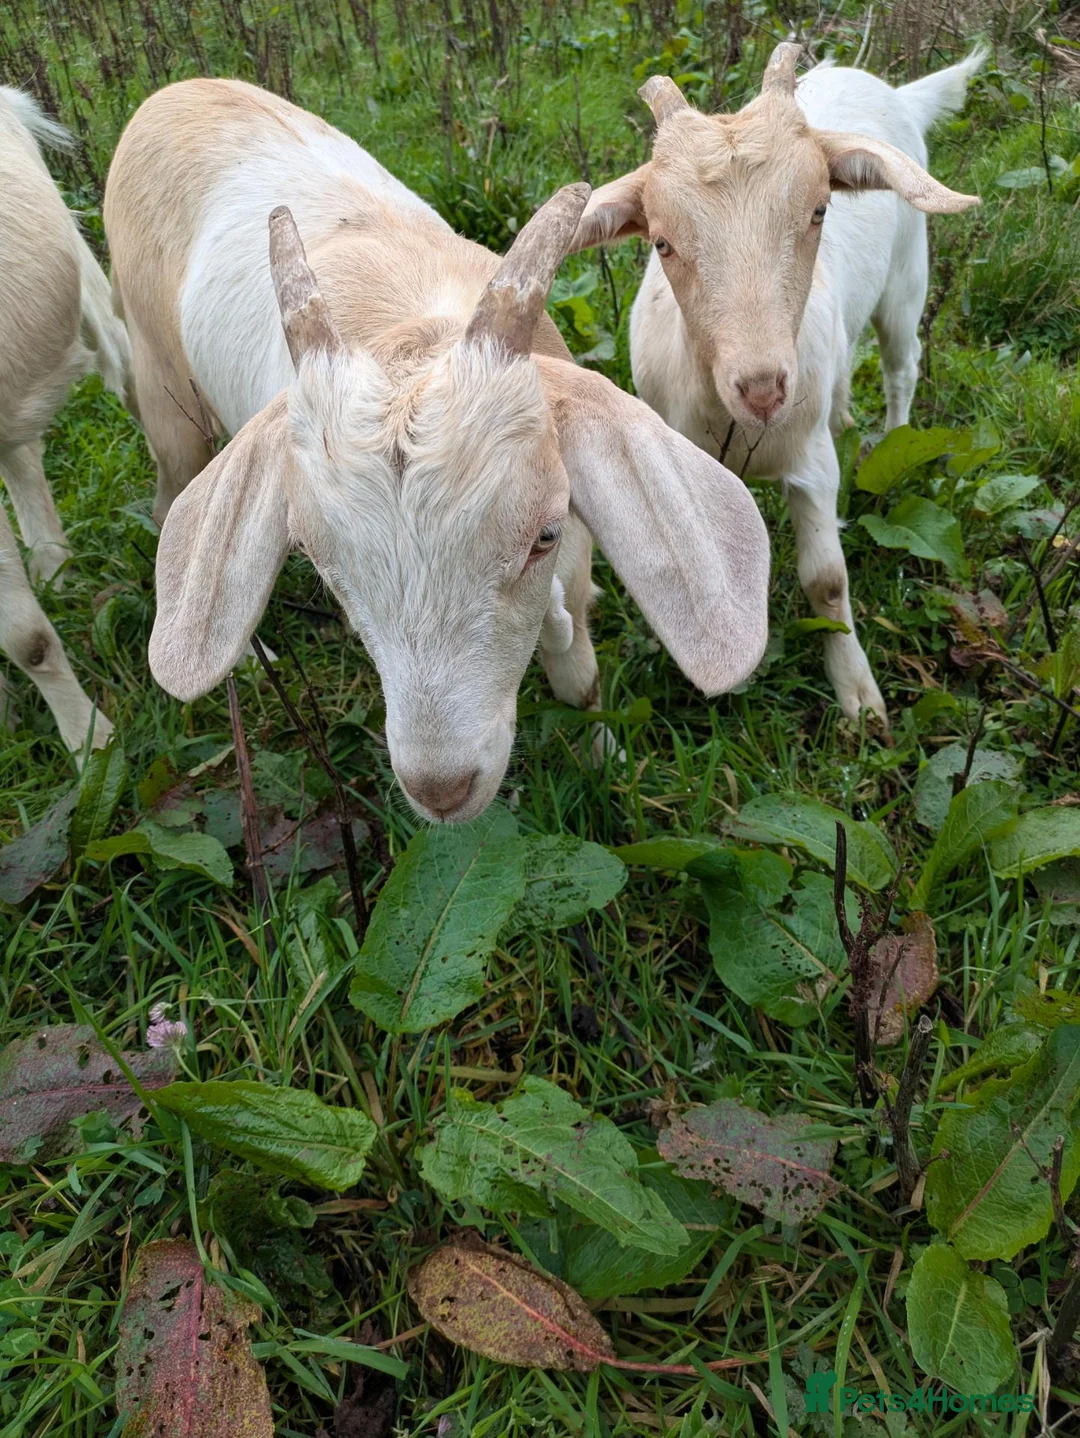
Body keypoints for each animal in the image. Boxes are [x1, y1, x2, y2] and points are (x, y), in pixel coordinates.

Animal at [103, 79, 770, 824]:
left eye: (543, 534)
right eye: (318, 563)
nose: (442, 789)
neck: (417, 323)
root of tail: (171, 93)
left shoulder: (574, 552)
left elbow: (582, 678)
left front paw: (607, 760)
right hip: (164, 385)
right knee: (169, 494)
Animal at [570, 43, 987, 725]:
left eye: (819, 210)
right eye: (662, 241)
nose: (763, 389)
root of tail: (891, 90)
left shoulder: (812, 465)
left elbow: (827, 582)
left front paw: (859, 699)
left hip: (908, 276)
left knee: (903, 364)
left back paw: (892, 438)